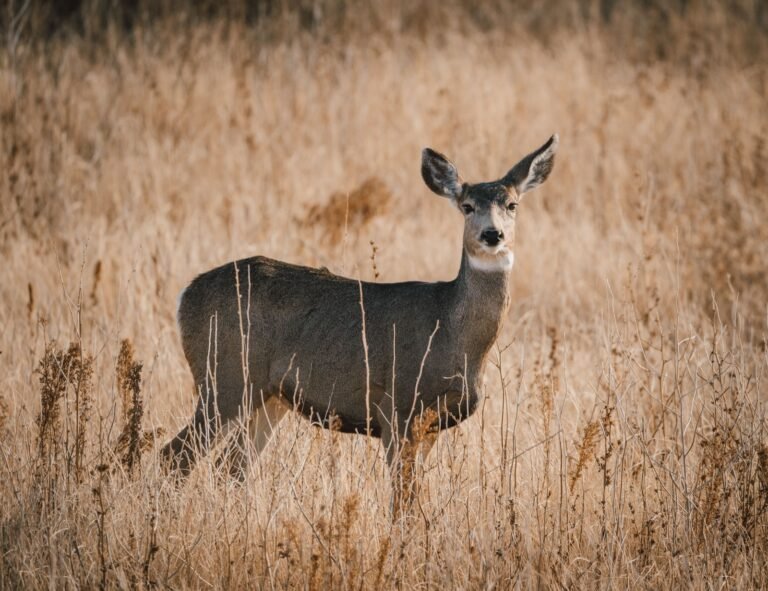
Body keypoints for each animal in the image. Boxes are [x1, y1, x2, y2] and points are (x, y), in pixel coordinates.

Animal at [162, 134, 558, 513]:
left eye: (512, 205)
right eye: (467, 206)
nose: (492, 235)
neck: (452, 331)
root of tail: (185, 294)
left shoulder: (431, 426)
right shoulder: (397, 408)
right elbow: (402, 501)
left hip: (267, 398)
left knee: (230, 468)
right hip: (223, 378)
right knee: (175, 457)